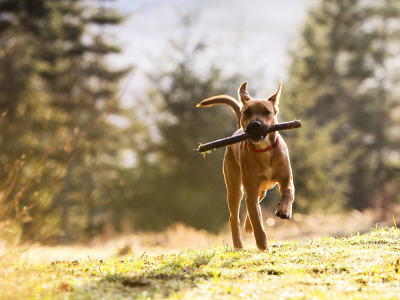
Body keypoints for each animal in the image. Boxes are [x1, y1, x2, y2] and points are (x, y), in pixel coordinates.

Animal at [197, 81, 294, 251]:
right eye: (247, 112)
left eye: (267, 112)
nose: (255, 124)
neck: (264, 149)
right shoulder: (251, 189)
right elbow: (258, 222)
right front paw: (263, 247)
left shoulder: (286, 180)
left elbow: (288, 193)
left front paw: (284, 210)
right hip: (235, 188)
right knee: (234, 217)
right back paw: (238, 244)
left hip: (260, 189)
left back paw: (248, 226)